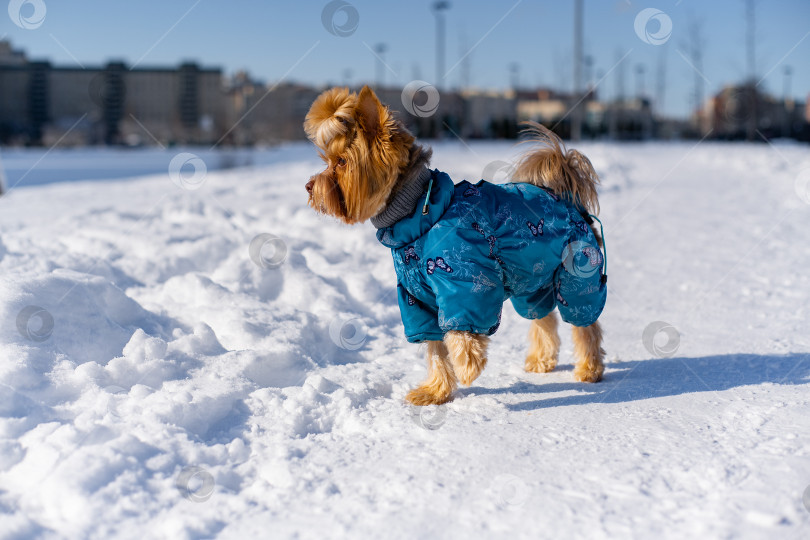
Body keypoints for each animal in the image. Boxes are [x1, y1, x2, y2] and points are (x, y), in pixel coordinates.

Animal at [304, 85, 608, 404]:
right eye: (327, 161)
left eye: (341, 162)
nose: (309, 186)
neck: (417, 217)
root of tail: (568, 200)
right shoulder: (416, 298)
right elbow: (434, 349)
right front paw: (436, 390)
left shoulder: (466, 285)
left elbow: (461, 332)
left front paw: (468, 367)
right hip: (533, 280)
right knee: (543, 317)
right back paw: (542, 360)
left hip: (577, 271)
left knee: (585, 321)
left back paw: (589, 368)